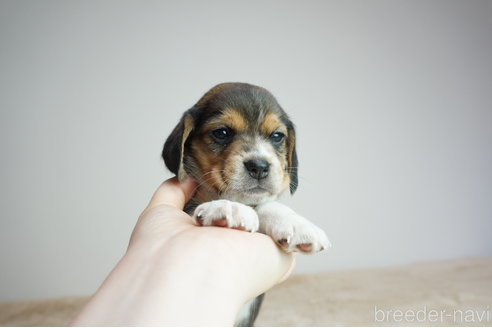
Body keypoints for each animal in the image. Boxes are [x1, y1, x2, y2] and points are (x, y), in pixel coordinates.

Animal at [162, 82, 330, 326]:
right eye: (222, 133)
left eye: (277, 136)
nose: (259, 166)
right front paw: (225, 207)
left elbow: (267, 206)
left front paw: (297, 225)